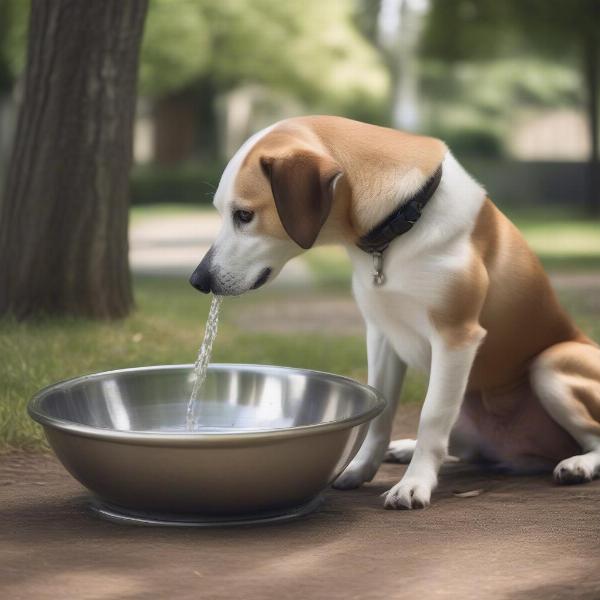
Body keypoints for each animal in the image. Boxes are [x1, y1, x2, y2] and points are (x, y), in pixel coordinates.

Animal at [189, 115, 600, 508]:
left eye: (244, 215)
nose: (198, 279)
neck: (400, 224)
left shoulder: (456, 337)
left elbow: (432, 416)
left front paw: (414, 485)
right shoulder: (382, 333)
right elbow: (381, 411)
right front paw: (361, 469)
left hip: (550, 364)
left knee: (591, 437)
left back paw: (577, 464)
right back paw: (405, 448)